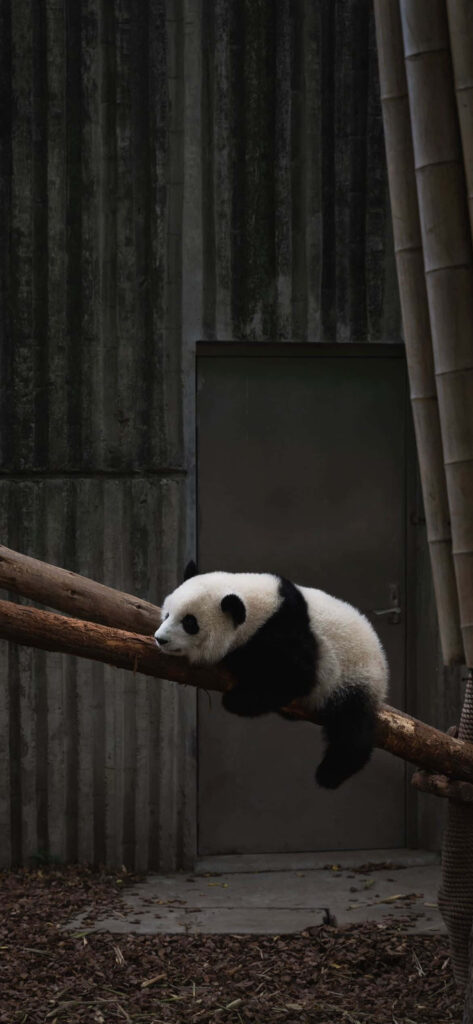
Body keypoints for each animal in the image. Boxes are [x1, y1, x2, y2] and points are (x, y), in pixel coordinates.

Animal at [154, 562, 388, 789]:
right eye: (167, 614)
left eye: (189, 623)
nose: (160, 639)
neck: (262, 608)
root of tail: (382, 662)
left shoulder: (285, 631)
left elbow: (296, 677)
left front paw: (237, 697)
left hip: (355, 676)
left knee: (351, 727)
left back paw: (331, 773)